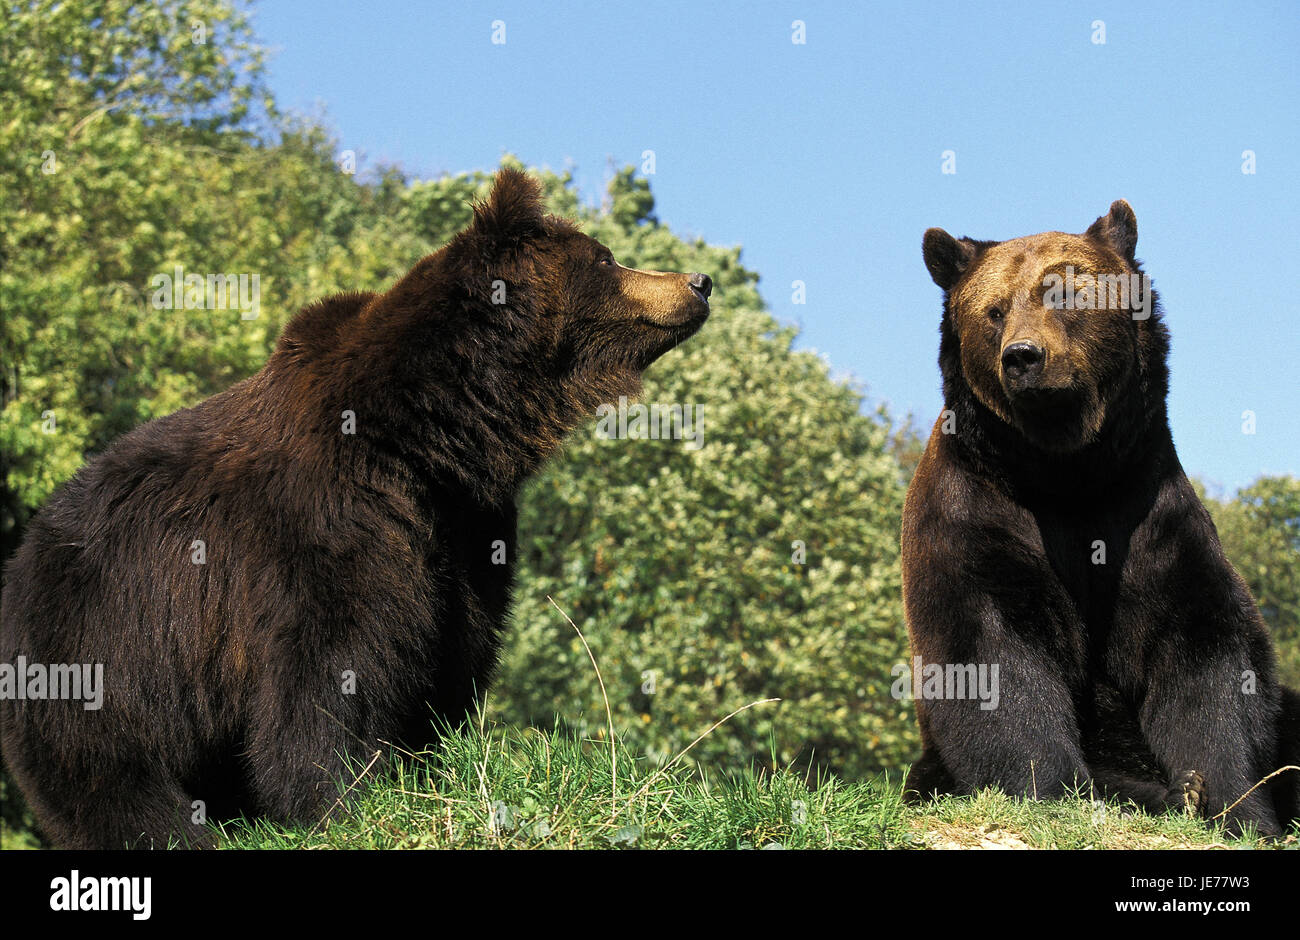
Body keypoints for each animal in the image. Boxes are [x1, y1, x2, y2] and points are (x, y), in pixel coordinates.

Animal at [0, 169, 712, 852]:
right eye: (608, 257)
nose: (699, 280)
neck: (430, 434)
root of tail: (25, 552)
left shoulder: (461, 529)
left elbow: (451, 654)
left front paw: (428, 766)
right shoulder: (324, 528)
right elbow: (332, 671)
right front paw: (349, 798)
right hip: (106, 643)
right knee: (113, 776)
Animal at [904, 198, 1300, 837]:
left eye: (1063, 292)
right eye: (993, 310)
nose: (1023, 357)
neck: (1068, 473)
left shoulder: (1147, 517)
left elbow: (1204, 653)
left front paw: (1231, 800)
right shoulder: (977, 517)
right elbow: (993, 652)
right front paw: (1054, 785)